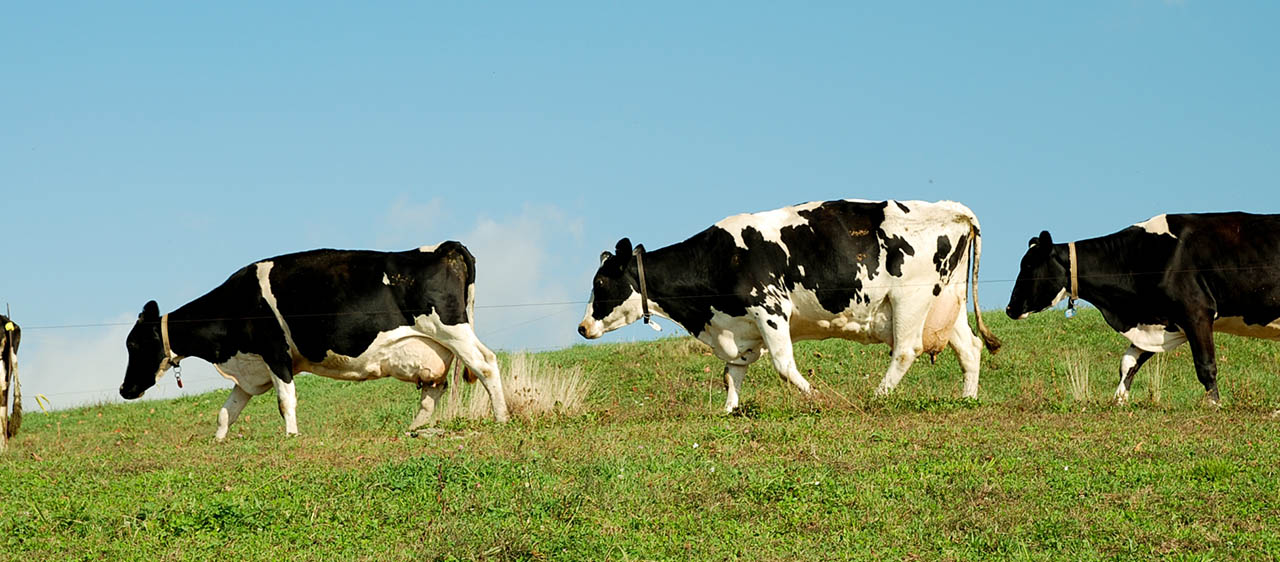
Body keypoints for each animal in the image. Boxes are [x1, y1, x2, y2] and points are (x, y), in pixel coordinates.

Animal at [122, 241, 506, 440]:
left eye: (134, 345)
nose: (125, 390)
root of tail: (443, 247)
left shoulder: (275, 352)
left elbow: (285, 401)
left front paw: (291, 437)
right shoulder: (250, 368)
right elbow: (226, 410)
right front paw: (218, 441)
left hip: (451, 329)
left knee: (485, 364)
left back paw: (501, 418)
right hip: (435, 346)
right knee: (434, 389)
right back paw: (413, 428)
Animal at [576, 199, 1003, 412]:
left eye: (600, 283)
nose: (582, 327)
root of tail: (952, 208)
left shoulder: (770, 308)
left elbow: (784, 366)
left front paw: (817, 398)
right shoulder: (738, 327)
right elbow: (732, 372)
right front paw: (729, 411)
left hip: (909, 298)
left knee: (905, 349)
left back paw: (877, 397)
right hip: (946, 301)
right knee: (970, 348)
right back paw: (967, 399)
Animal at [1003, 215, 1280, 404]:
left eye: (1029, 265)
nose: (1009, 308)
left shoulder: (1196, 312)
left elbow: (1205, 364)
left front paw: (1214, 404)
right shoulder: (1159, 321)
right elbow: (1128, 362)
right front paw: (1119, 400)